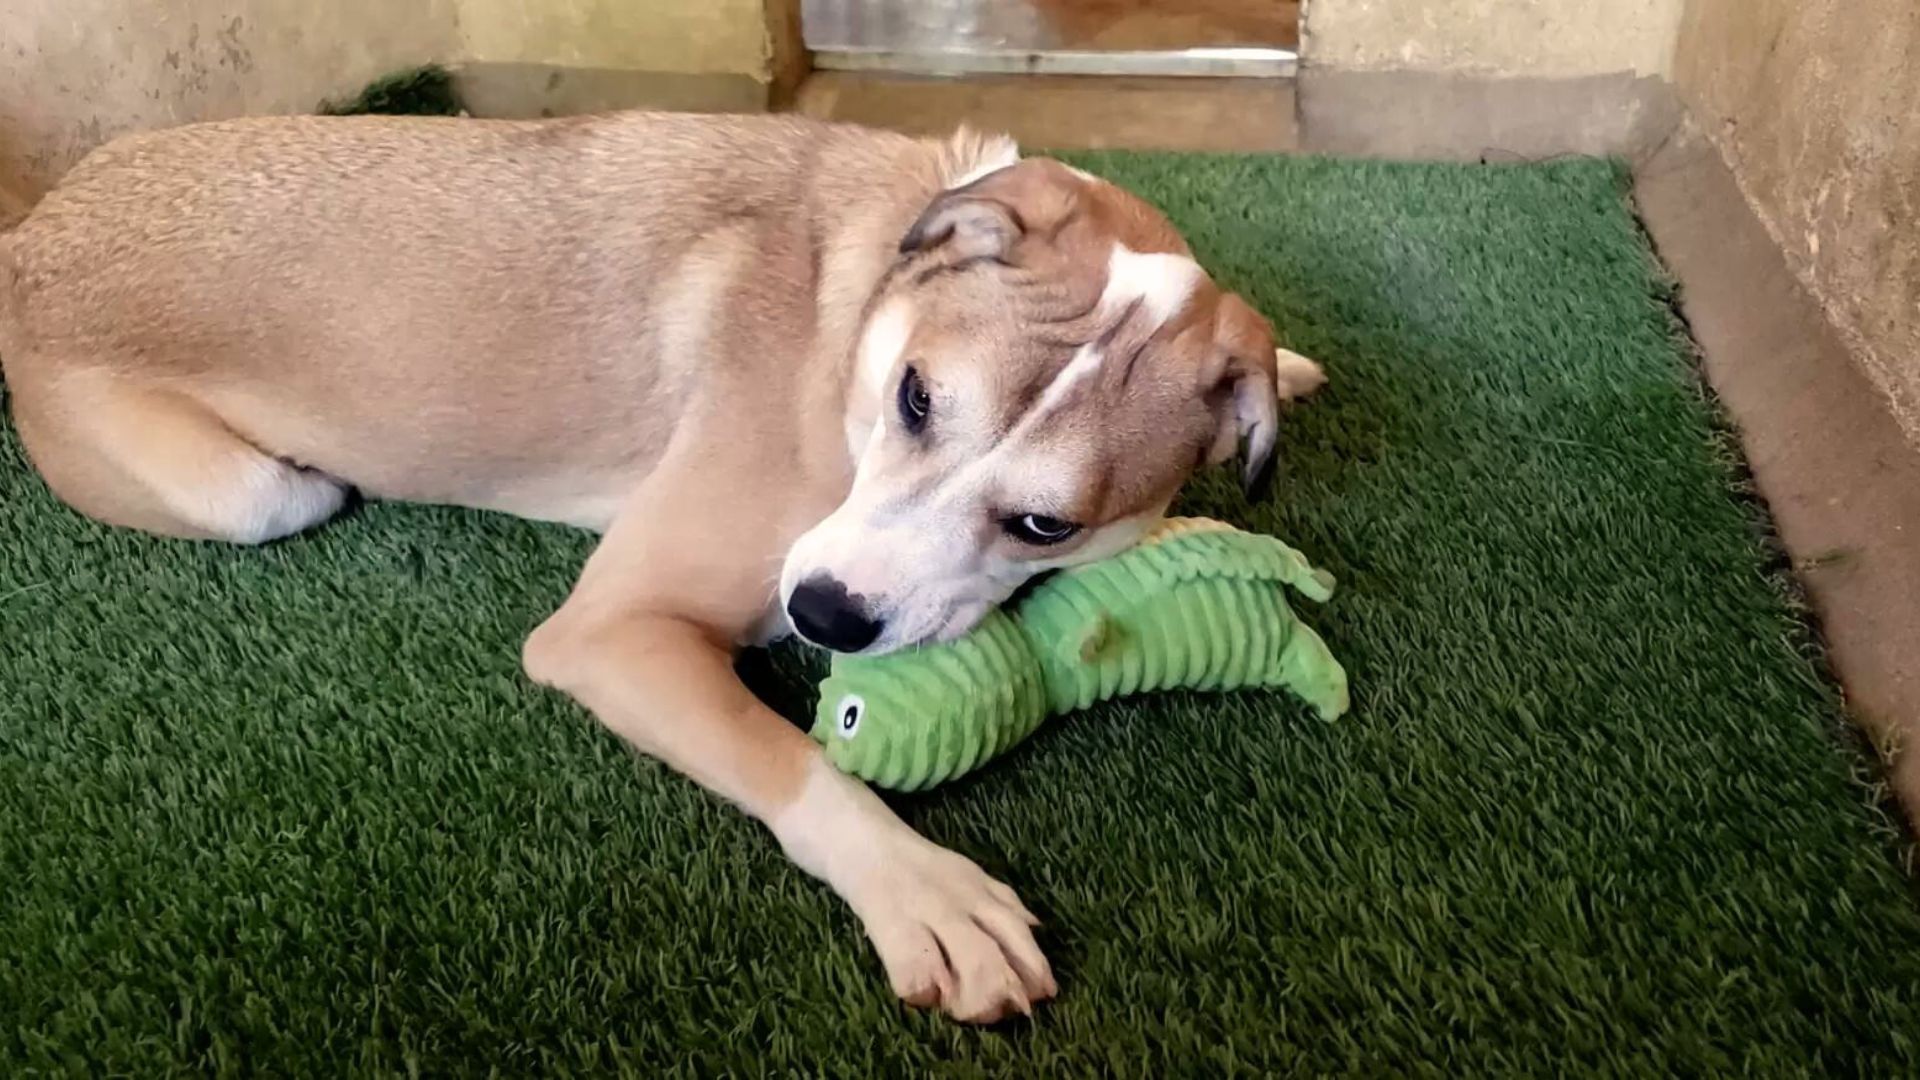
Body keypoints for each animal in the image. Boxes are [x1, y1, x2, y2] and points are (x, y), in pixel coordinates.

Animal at [0, 113, 1320, 1022]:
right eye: (916, 398)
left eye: (1044, 526)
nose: (822, 613)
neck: (860, 304)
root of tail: (30, 241)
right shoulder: (611, 631)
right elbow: (793, 763)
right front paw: (921, 892)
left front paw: (1289, 369)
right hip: (263, 496)